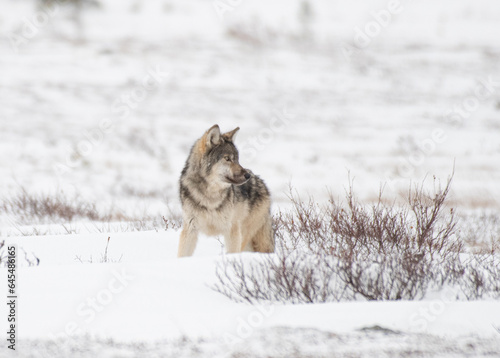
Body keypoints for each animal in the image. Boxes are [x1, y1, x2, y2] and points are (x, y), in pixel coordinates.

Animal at [179, 124, 276, 256]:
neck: (210, 195)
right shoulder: (190, 229)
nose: (247, 176)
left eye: (237, 159)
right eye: (227, 158)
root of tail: (261, 182)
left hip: (245, 235)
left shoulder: (232, 230)